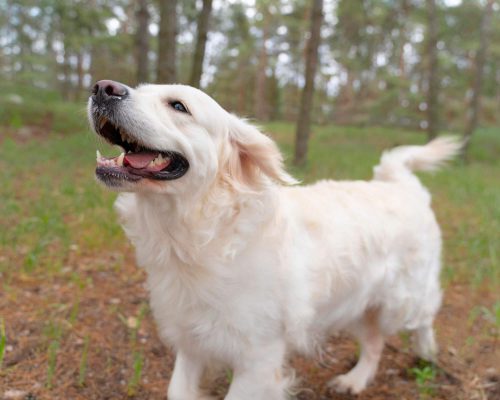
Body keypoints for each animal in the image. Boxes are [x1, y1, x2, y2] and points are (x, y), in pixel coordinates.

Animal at [88, 79, 462, 398]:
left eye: (178, 106)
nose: (102, 88)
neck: (201, 236)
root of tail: (402, 184)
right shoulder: (193, 340)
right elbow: (177, 390)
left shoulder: (259, 360)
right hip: (360, 304)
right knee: (373, 343)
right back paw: (354, 380)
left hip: (402, 301)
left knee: (424, 316)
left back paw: (427, 353)